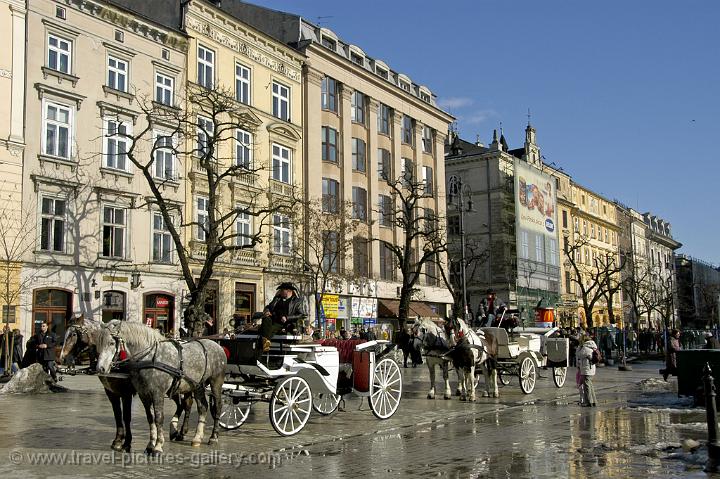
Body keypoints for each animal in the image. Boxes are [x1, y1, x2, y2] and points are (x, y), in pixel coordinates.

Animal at [95, 322, 225, 454]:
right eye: (98, 343)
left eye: (111, 343)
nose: (100, 368)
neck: (149, 357)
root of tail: (217, 346)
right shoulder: (143, 395)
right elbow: (150, 418)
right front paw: (150, 445)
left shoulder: (156, 393)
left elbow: (159, 418)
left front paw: (158, 446)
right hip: (197, 385)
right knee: (202, 407)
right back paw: (196, 438)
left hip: (216, 382)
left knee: (217, 407)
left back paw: (213, 437)